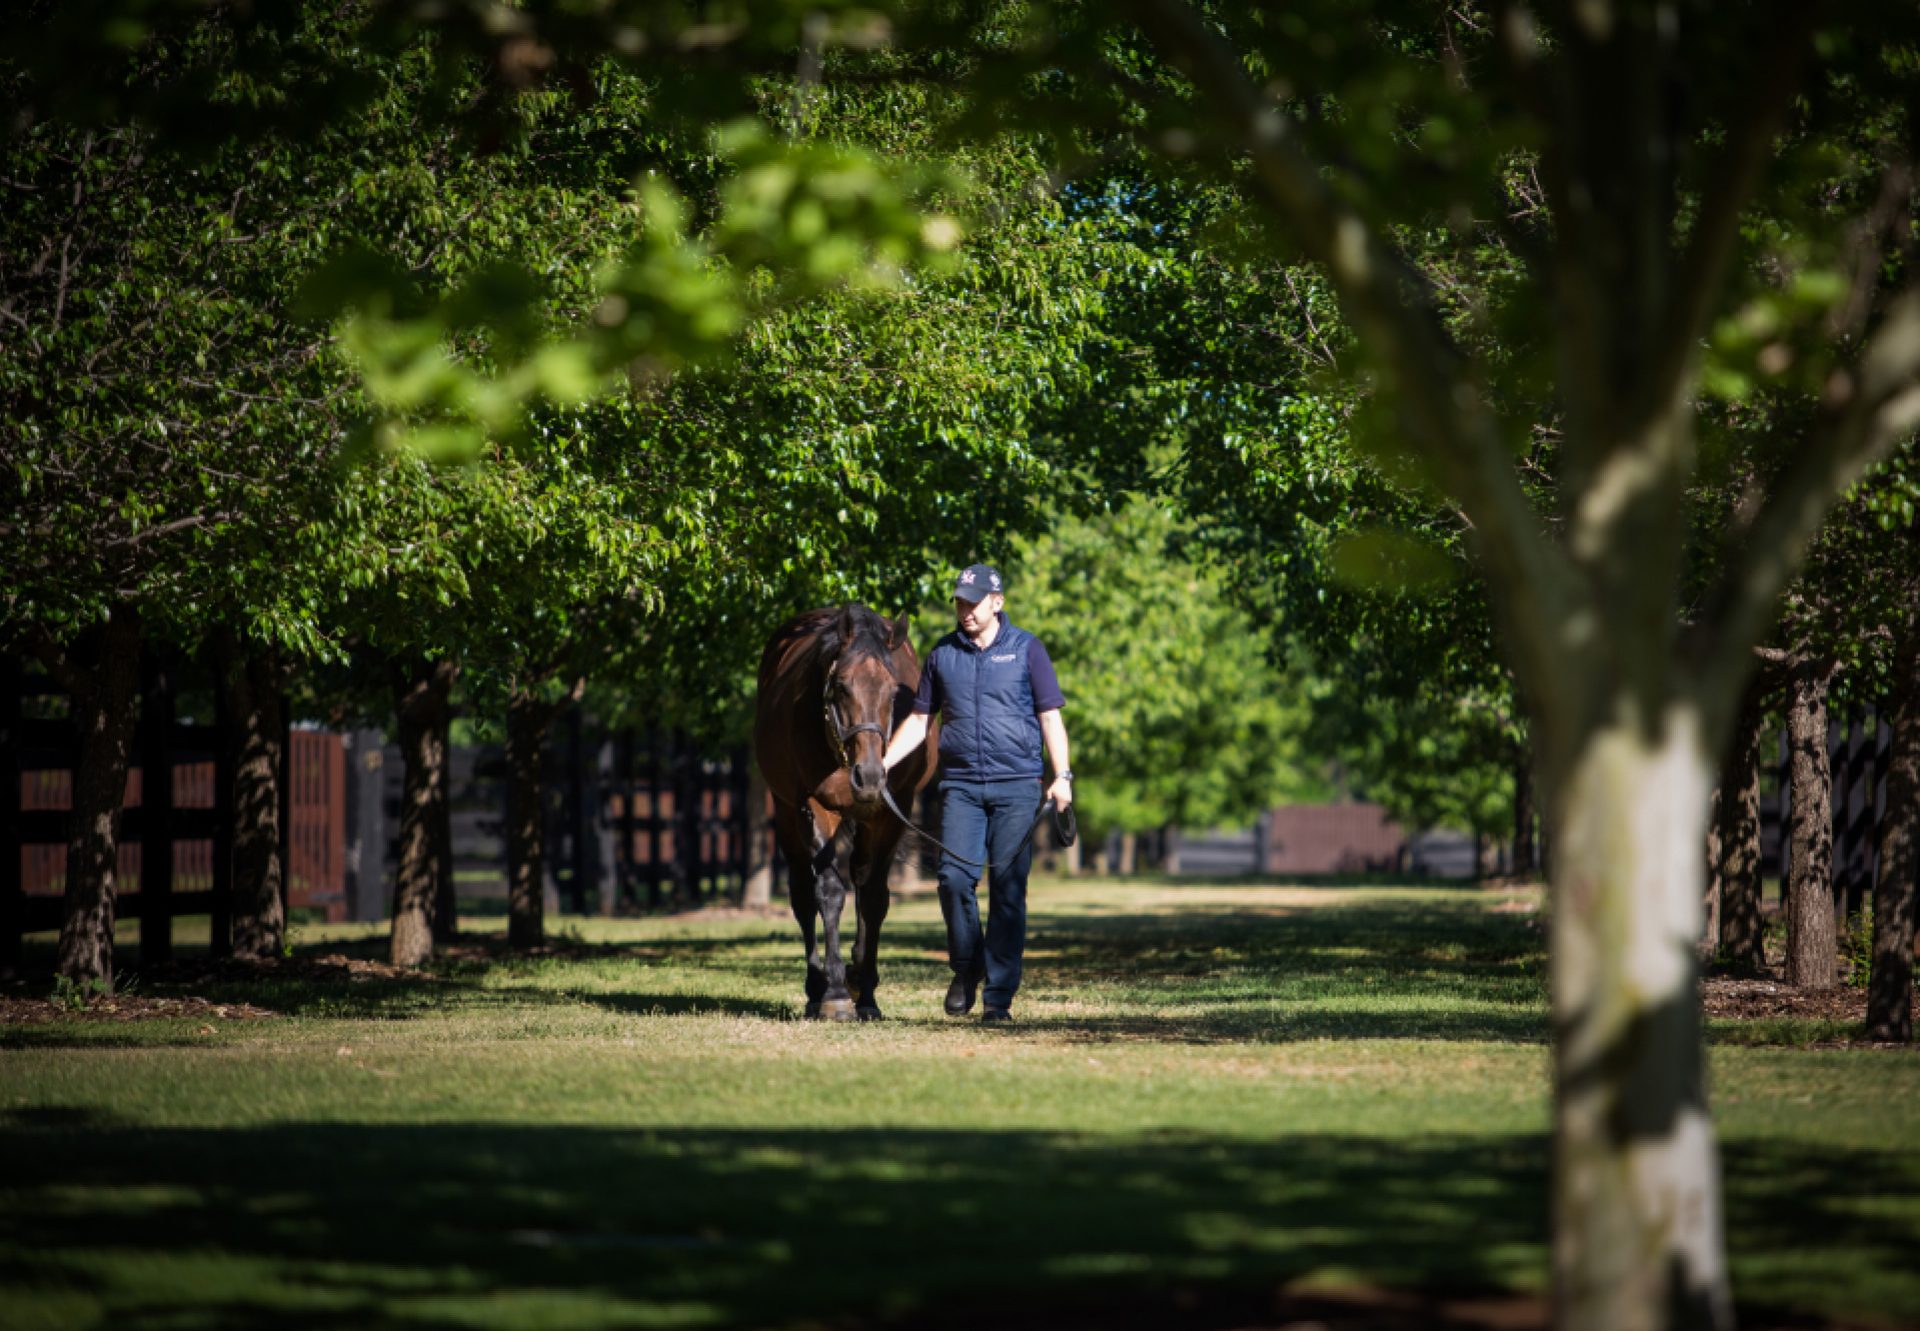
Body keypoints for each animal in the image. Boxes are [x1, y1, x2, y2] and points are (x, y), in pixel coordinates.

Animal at [748, 603, 936, 1014]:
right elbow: (830, 892)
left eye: (892, 690)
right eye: (841, 687)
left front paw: (865, 992)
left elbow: (875, 897)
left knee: (863, 880)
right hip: (786, 814)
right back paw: (816, 988)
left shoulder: (890, 814)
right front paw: (835, 993)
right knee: (803, 895)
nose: (869, 775)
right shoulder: (813, 806)